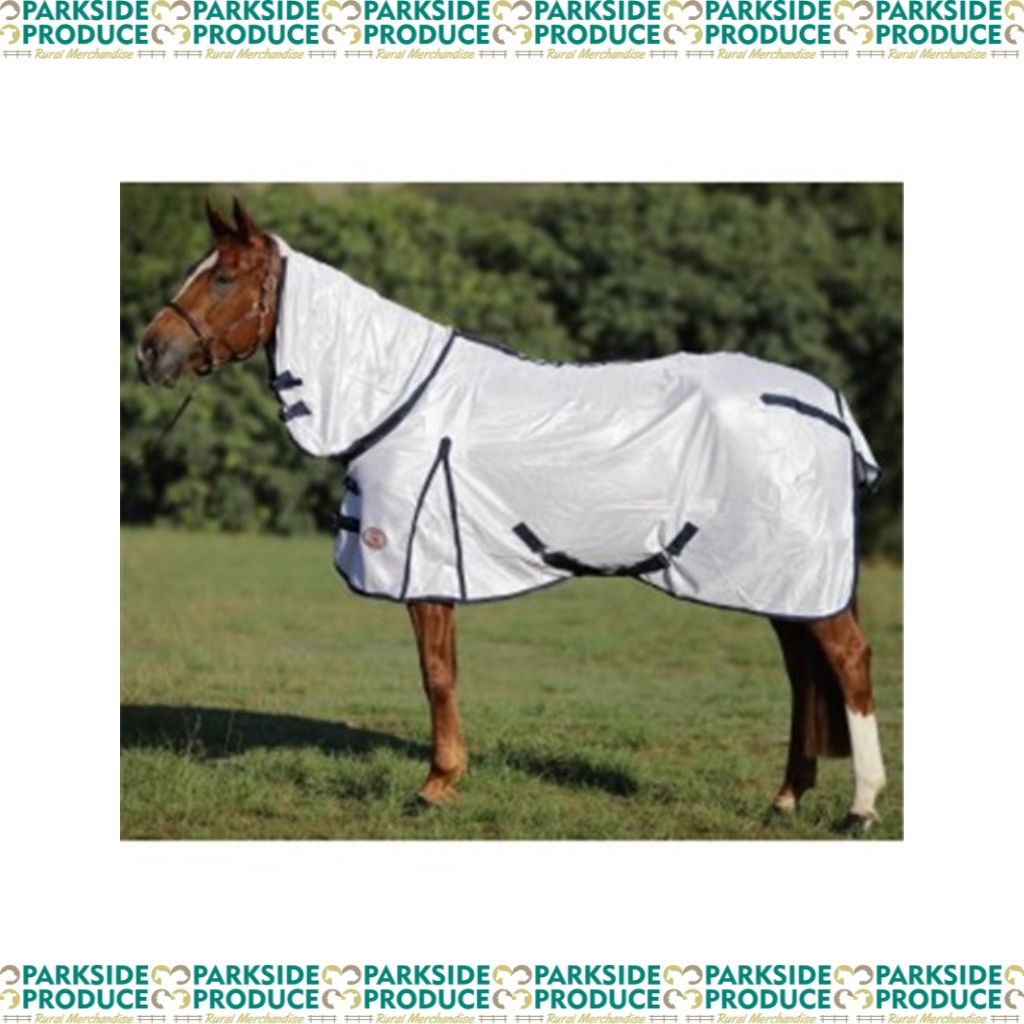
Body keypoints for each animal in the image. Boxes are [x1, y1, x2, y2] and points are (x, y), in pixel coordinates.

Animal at [135, 199, 887, 832]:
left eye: (224, 277)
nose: (149, 351)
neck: (398, 397)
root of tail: (825, 403)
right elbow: (444, 672)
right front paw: (446, 778)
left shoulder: (424, 566)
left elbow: (435, 675)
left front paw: (436, 786)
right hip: (774, 578)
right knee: (803, 675)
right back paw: (785, 800)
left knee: (849, 662)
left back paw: (859, 808)